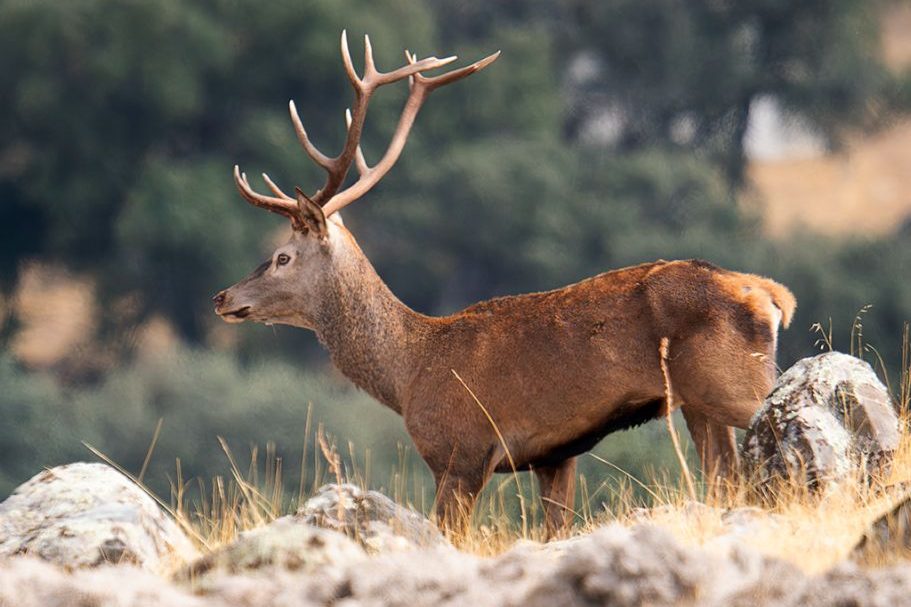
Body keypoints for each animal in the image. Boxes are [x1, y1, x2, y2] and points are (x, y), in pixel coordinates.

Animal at [212, 32, 797, 536]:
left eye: (282, 257)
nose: (222, 297)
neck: (409, 371)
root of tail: (772, 295)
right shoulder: (556, 454)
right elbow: (554, 528)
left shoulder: (460, 451)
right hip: (699, 402)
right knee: (725, 480)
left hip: (734, 381)